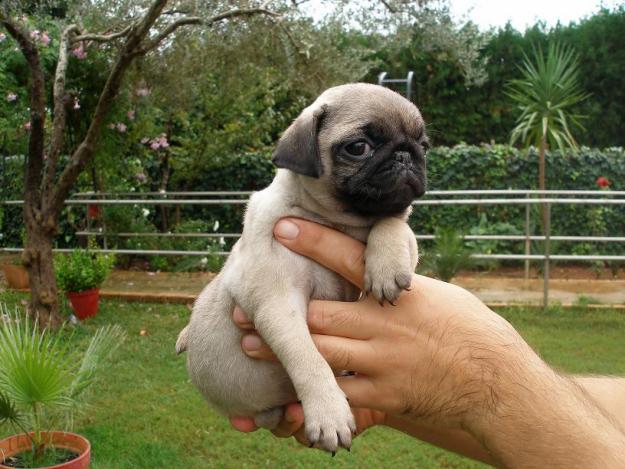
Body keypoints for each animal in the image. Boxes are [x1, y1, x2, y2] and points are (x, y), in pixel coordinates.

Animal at [176, 84, 428, 454]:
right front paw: (329, 412)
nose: (406, 154)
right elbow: (309, 359)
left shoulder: (396, 225)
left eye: (424, 145)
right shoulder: (278, 304)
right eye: (358, 147)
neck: (337, 222)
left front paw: (386, 264)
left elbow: (394, 223)